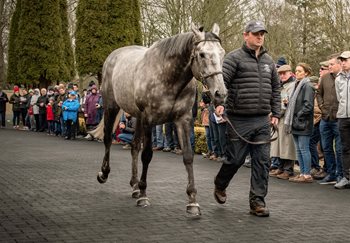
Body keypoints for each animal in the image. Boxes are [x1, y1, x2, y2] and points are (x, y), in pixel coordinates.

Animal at [91, 23, 227, 215]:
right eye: (201, 54)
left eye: (222, 53)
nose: (220, 93)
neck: (168, 77)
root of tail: (114, 55)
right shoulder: (149, 119)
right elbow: (147, 155)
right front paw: (143, 195)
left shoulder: (183, 120)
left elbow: (188, 156)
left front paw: (192, 201)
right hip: (112, 107)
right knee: (108, 139)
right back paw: (104, 174)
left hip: (137, 117)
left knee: (134, 146)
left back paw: (134, 186)